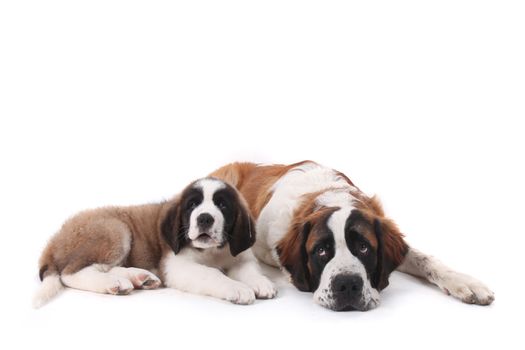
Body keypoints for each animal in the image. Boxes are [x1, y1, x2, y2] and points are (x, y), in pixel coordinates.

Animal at [34, 179, 276, 308]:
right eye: (192, 205)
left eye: (222, 205)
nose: (205, 218)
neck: (212, 252)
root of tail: (55, 237)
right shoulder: (177, 265)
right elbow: (212, 274)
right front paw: (238, 288)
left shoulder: (239, 255)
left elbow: (248, 269)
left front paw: (261, 283)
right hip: (115, 230)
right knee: (70, 272)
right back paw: (113, 283)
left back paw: (137, 277)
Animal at [210, 161, 496, 312]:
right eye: (321, 251)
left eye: (364, 247)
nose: (347, 285)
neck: (328, 196)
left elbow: (425, 259)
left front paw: (465, 283)